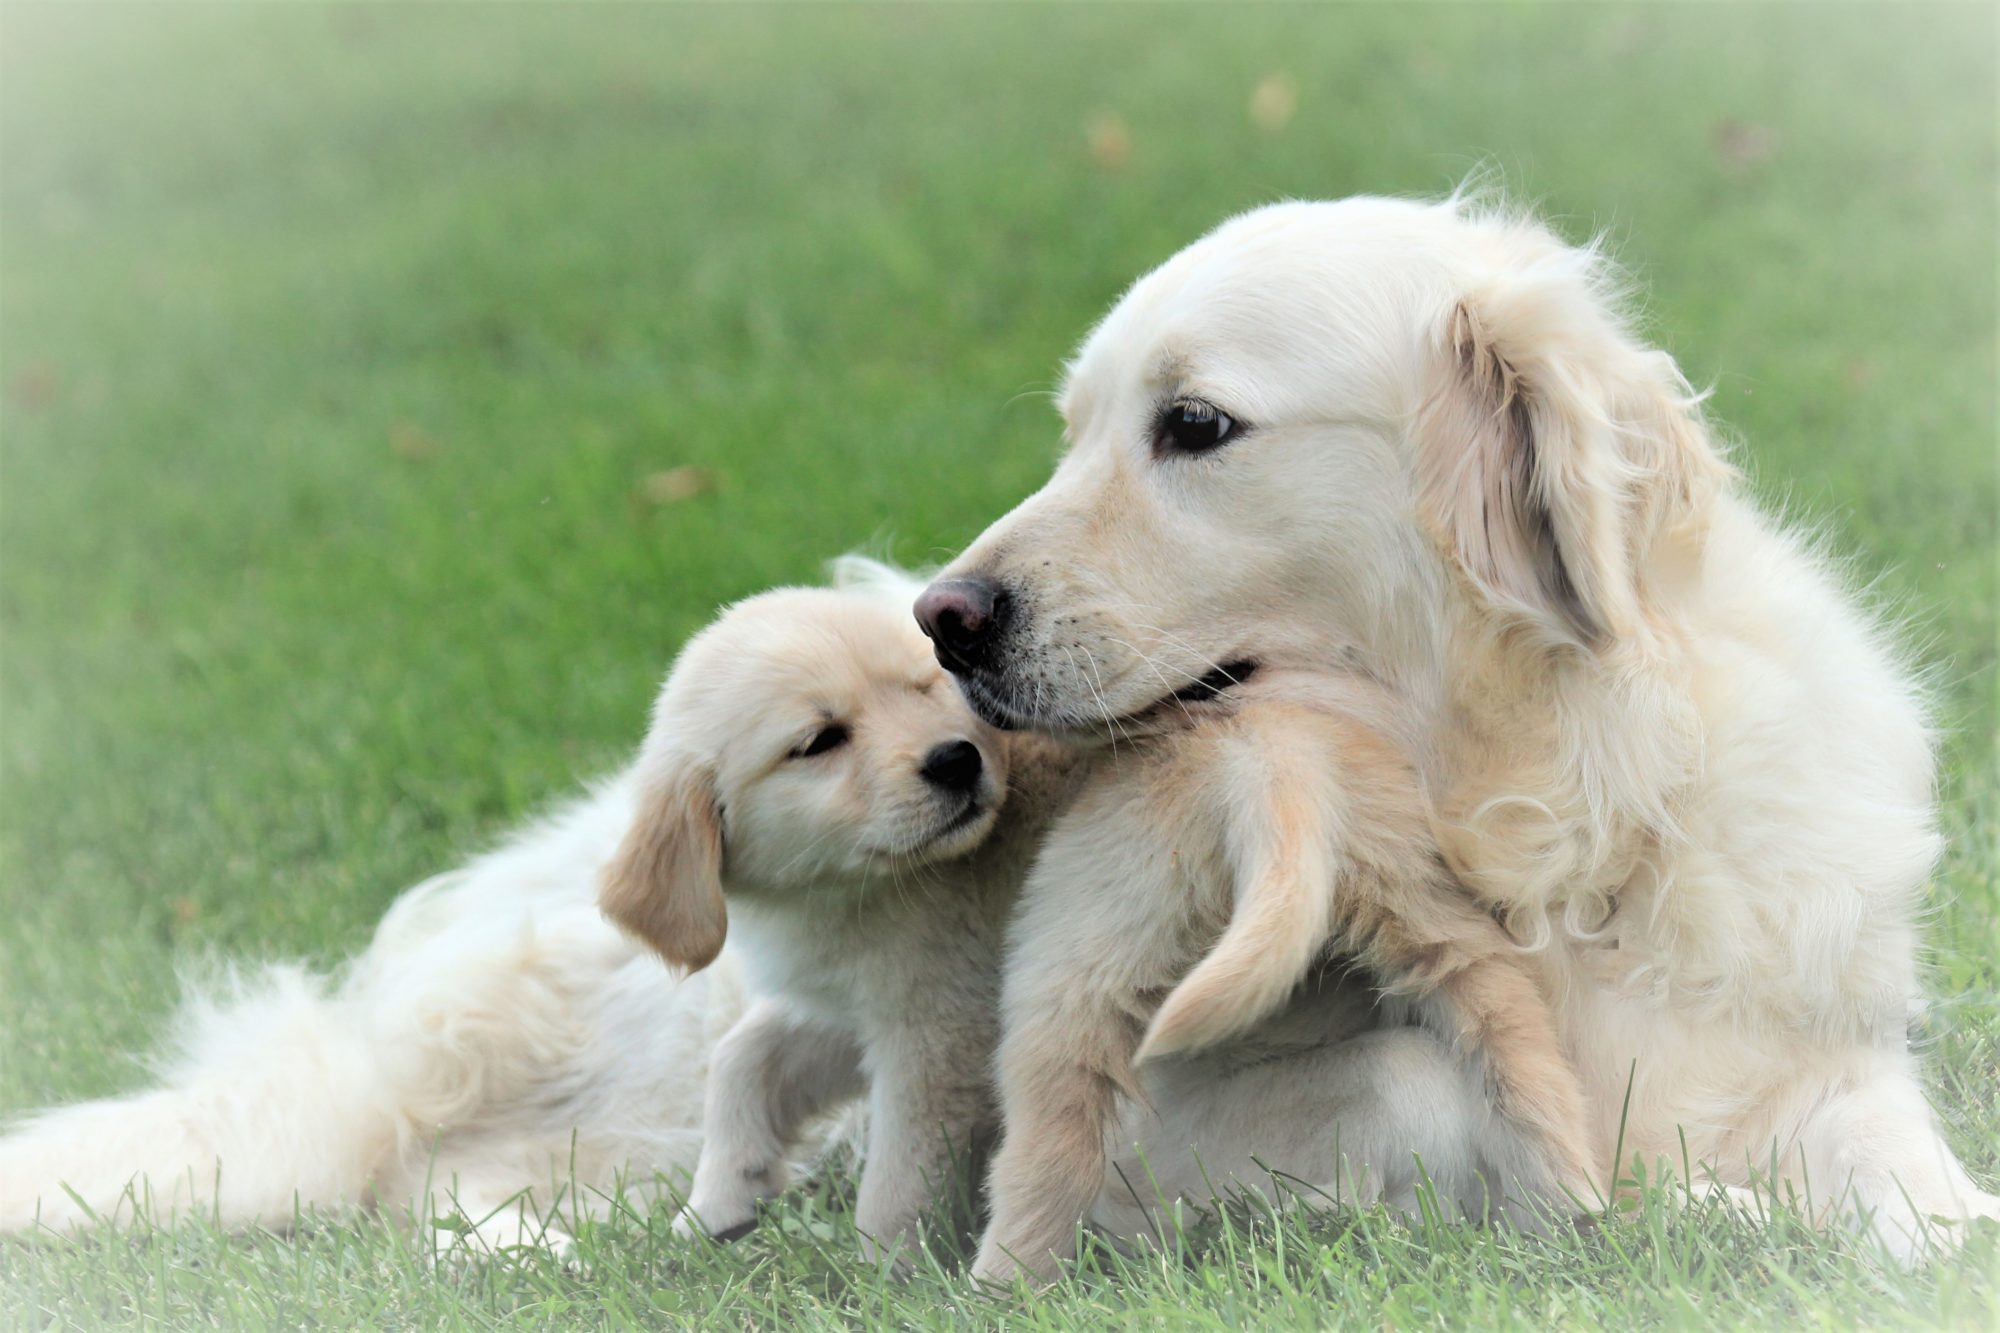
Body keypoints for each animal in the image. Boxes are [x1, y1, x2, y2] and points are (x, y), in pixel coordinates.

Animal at [600, 556, 1088, 1256]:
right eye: (820, 741)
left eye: (921, 688)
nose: (957, 759)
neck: (849, 890)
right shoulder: (850, 1001)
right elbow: (742, 1057)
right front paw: (717, 1203)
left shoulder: (938, 1034)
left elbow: (897, 1176)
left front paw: (890, 1271)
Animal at [960, 664, 1600, 1280]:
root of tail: (1270, 767)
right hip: (1439, 923)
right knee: (1517, 1064)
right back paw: (1569, 1220)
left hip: (1073, 972)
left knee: (1050, 1156)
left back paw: (1004, 1289)